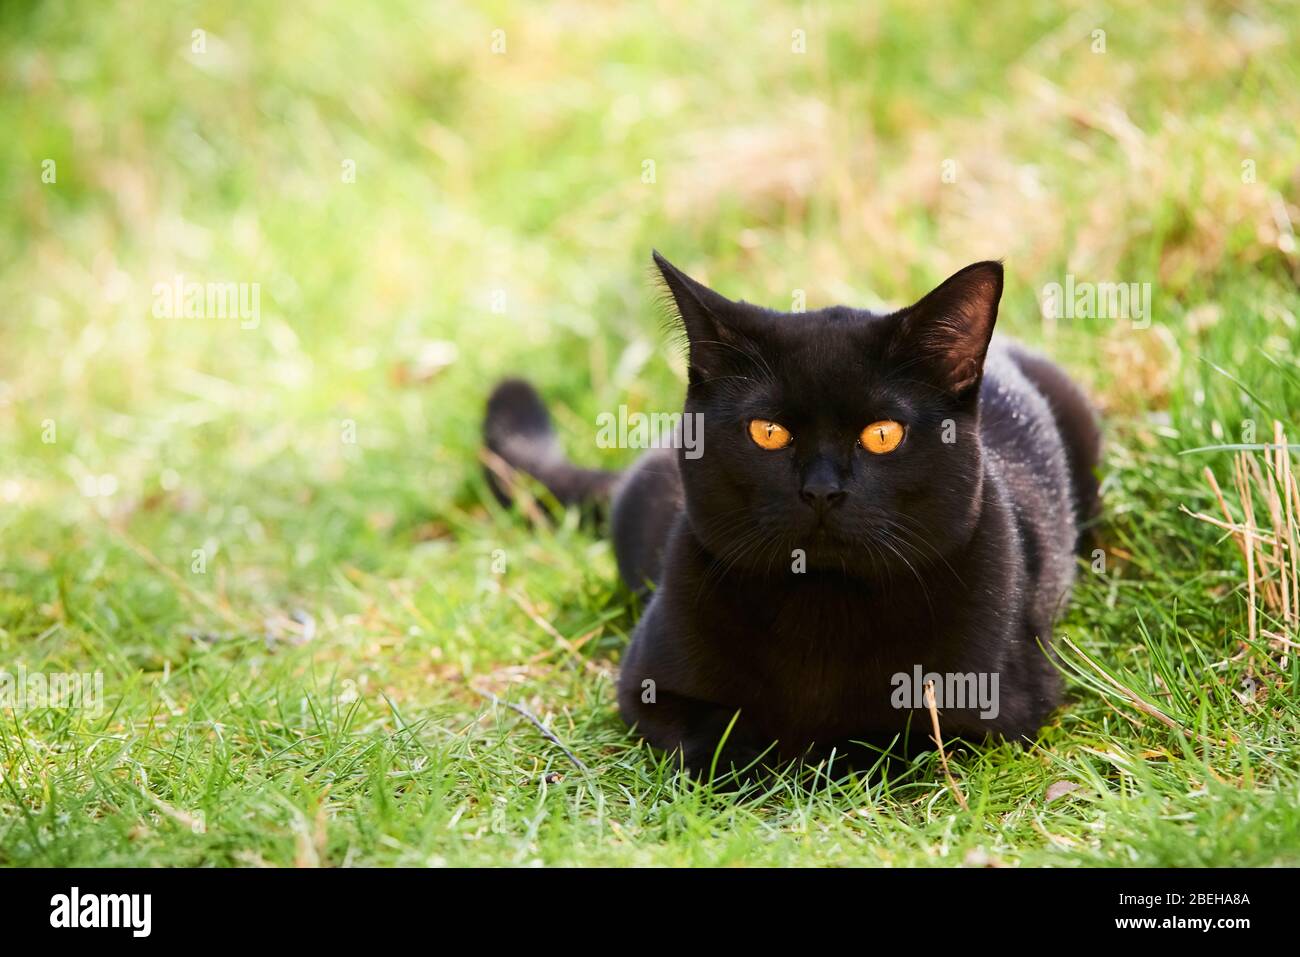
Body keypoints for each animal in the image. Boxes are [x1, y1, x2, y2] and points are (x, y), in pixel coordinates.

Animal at [486, 256, 1097, 780]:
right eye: (768, 432)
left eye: (883, 434)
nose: (821, 490)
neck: (820, 605)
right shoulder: (649, 686)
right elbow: (720, 739)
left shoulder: (994, 710)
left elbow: (878, 740)